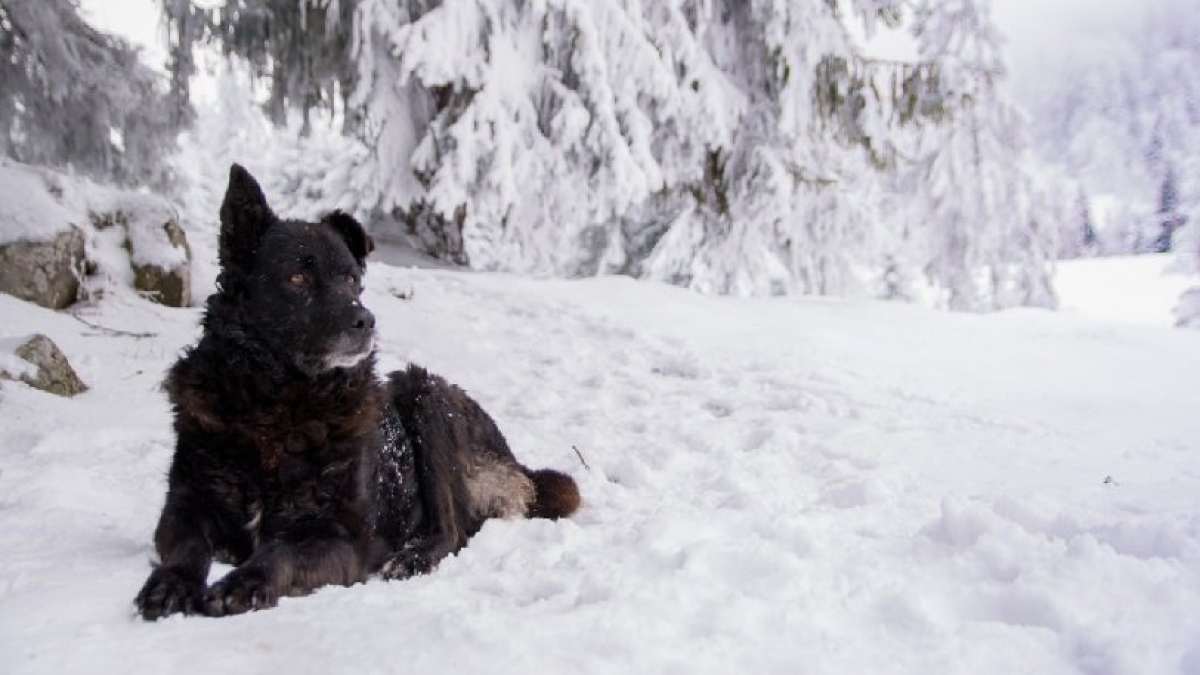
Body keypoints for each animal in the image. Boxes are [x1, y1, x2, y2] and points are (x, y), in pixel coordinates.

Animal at [133, 163, 578, 614]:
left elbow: (278, 552)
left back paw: (412, 558)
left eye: (350, 279)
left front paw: (243, 582)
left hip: (425, 393)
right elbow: (189, 546)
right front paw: (171, 582)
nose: (365, 321)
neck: (277, 401)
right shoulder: (184, 506)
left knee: (453, 531)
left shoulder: (339, 537)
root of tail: (515, 461)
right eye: (298, 277)